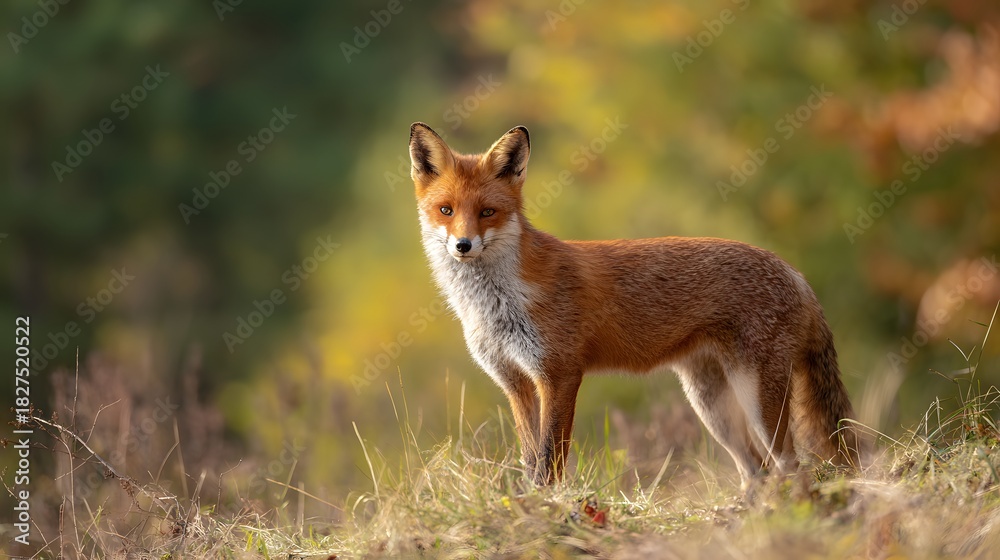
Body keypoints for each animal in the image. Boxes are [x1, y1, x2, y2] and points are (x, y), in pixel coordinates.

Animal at [408, 122, 862, 488]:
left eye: (488, 212)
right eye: (446, 210)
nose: (462, 245)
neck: (497, 304)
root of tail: (795, 272)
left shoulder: (559, 374)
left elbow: (550, 461)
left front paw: (549, 510)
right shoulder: (516, 382)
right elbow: (530, 459)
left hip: (757, 401)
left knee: (790, 466)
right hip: (711, 406)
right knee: (757, 471)